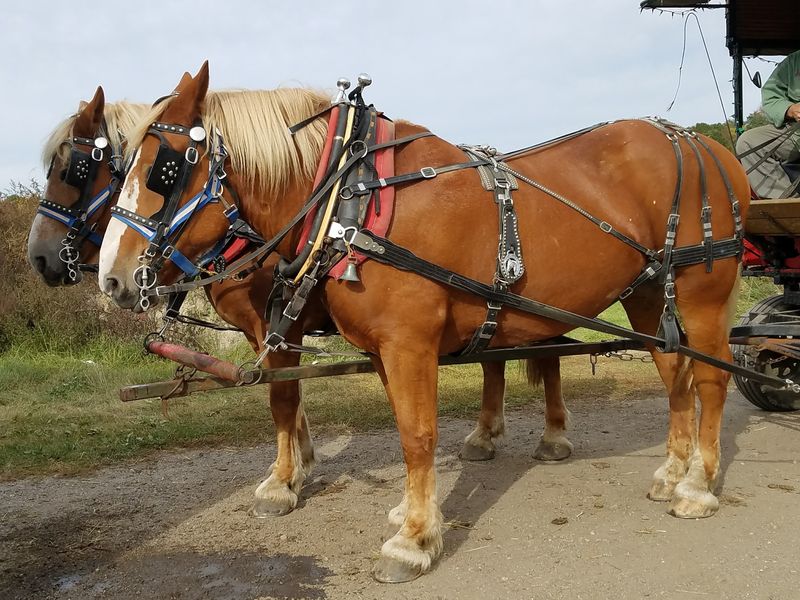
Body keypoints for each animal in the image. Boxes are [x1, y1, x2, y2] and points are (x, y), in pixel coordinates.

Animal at [29, 85, 573, 519]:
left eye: (77, 170)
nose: (39, 257)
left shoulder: (283, 325)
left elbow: (283, 397)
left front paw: (283, 479)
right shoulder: (264, 332)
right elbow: (284, 394)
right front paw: (300, 461)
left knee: (545, 355)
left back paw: (551, 435)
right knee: (500, 357)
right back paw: (487, 434)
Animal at [98, 63, 750, 581]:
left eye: (163, 170)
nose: (112, 277)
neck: (351, 197)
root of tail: (707, 146)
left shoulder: (407, 343)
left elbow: (416, 435)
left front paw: (411, 541)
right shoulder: (383, 348)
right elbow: (397, 428)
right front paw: (419, 514)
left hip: (703, 295)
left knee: (711, 379)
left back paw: (698, 485)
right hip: (648, 297)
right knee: (674, 373)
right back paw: (672, 469)